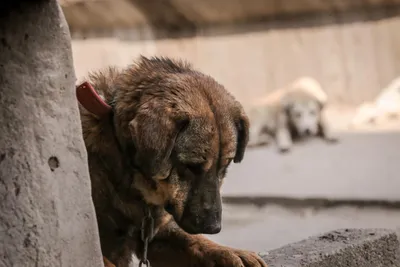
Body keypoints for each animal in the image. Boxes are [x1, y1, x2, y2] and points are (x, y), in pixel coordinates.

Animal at [76, 57, 268, 267]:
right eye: (191, 166)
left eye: (224, 167)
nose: (214, 227)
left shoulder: (156, 234)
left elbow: (193, 240)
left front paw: (229, 252)